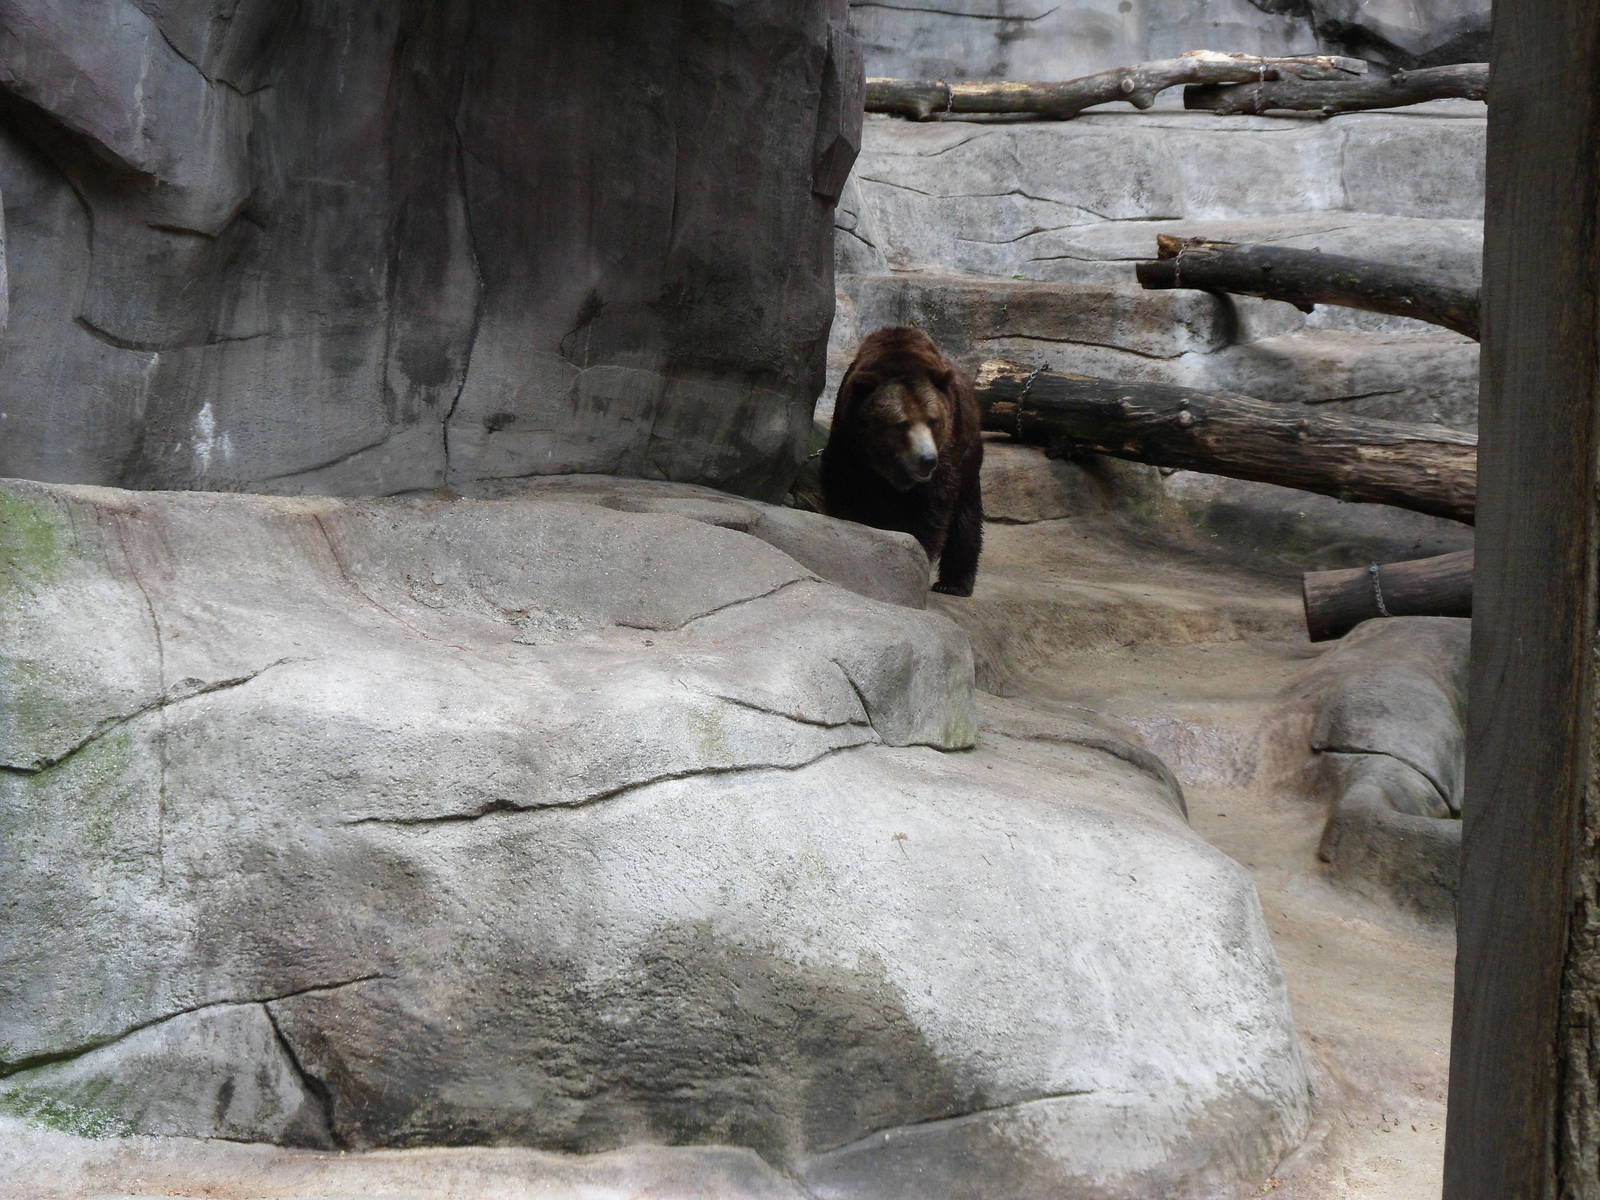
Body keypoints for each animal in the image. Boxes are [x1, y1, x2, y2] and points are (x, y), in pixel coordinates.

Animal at [821, 326, 984, 596]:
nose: (927, 459)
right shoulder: (850, 445)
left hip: (969, 452)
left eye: (933, 420)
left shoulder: (947, 455)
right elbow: (845, 492)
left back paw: (953, 583)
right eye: (901, 423)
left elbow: (930, 510)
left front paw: (915, 555)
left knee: (966, 516)